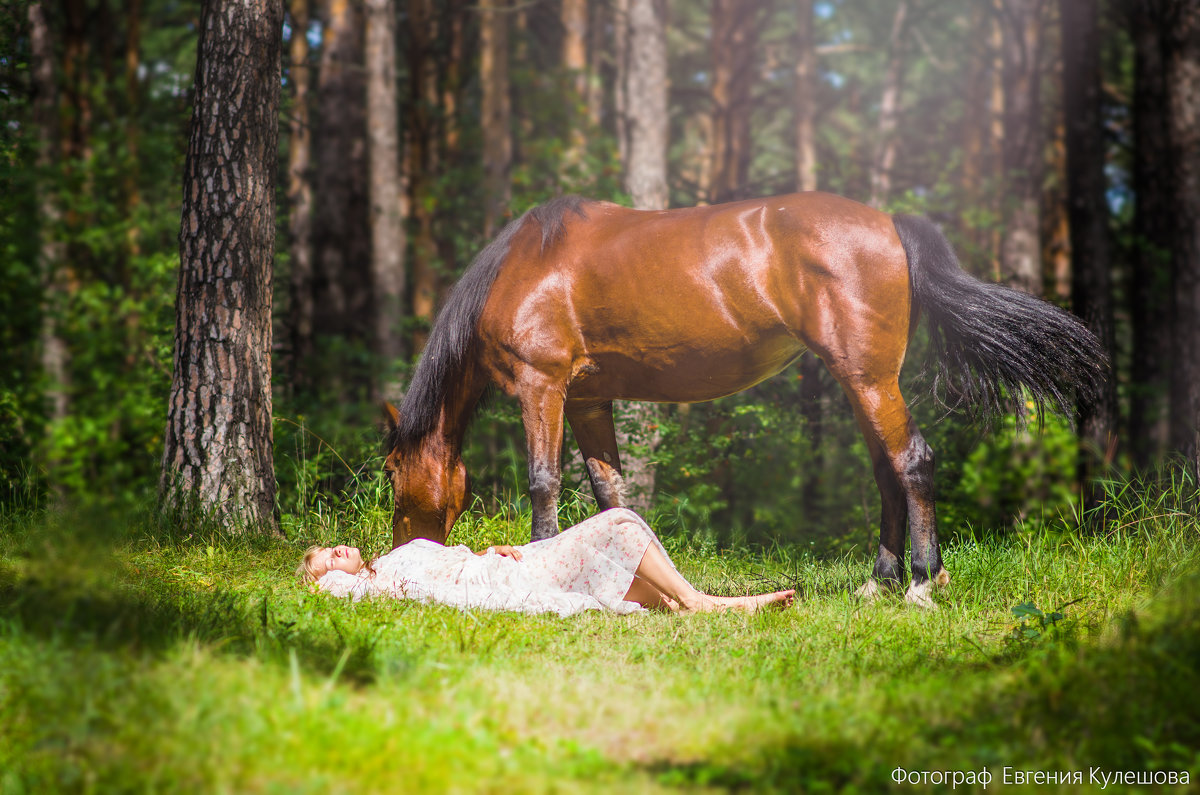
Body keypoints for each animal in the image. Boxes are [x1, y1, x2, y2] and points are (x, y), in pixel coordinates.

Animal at [384, 193, 1104, 605]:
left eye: (390, 471)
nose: (403, 548)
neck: (524, 266)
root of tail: (889, 222)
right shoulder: (589, 400)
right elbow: (611, 494)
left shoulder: (545, 386)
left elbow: (543, 482)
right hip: (860, 381)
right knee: (886, 473)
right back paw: (879, 581)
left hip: (871, 378)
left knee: (914, 461)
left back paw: (924, 583)